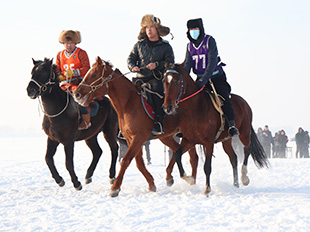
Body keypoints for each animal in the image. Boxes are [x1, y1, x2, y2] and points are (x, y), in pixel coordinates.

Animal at [26, 58, 119, 190]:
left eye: (44, 72)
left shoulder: (68, 141)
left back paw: (111, 176)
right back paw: (88, 175)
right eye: (32, 72)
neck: (56, 112)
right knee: (97, 152)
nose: (30, 90)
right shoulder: (52, 139)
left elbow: (68, 163)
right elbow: (48, 159)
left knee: (114, 149)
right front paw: (59, 180)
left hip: (109, 131)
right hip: (91, 136)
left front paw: (76, 183)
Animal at [73, 56, 196, 196]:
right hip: (166, 137)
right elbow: (139, 163)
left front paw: (115, 188)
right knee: (179, 151)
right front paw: (151, 184)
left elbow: (126, 160)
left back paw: (190, 178)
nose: (76, 94)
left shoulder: (139, 138)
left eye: (93, 74)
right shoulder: (131, 138)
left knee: (191, 155)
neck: (129, 104)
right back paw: (176, 178)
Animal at [162, 64, 268, 196]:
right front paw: (188, 179)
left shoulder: (209, 142)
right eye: (164, 81)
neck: (194, 109)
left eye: (176, 81)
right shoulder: (189, 140)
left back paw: (244, 178)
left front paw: (207, 188)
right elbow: (177, 155)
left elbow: (207, 166)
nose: (167, 107)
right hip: (226, 140)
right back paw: (235, 184)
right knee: (233, 158)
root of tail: (244, 102)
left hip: (244, 132)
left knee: (247, 149)